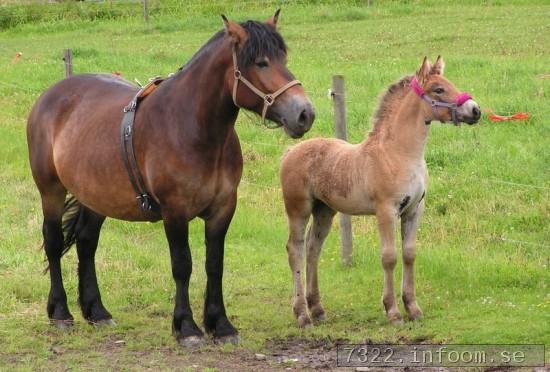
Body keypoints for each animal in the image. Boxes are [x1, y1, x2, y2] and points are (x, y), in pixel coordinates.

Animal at [28, 10, 314, 346]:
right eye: (260, 62)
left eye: (283, 57)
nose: (305, 113)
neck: (192, 128)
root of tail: (49, 95)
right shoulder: (174, 212)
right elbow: (182, 266)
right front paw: (186, 327)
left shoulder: (222, 209)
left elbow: (214, 265)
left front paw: (221, 325)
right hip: (51, 190)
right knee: (53, 241)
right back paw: (60, 313)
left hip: (95, 196)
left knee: (86, 243)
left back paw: (97, 312)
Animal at [282, 56, 480, 326]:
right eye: (438, 89)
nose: (475, 110)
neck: (399, 154)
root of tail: (289, 152)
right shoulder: (386, 210)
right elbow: (389, 257)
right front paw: (393, 311)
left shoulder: (414, 210)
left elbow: (409, 254)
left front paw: (413, 308)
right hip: (298, 210)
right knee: (296, 250)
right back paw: (302, 313)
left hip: (325, 211)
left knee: (313, 249)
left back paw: (318, 309)